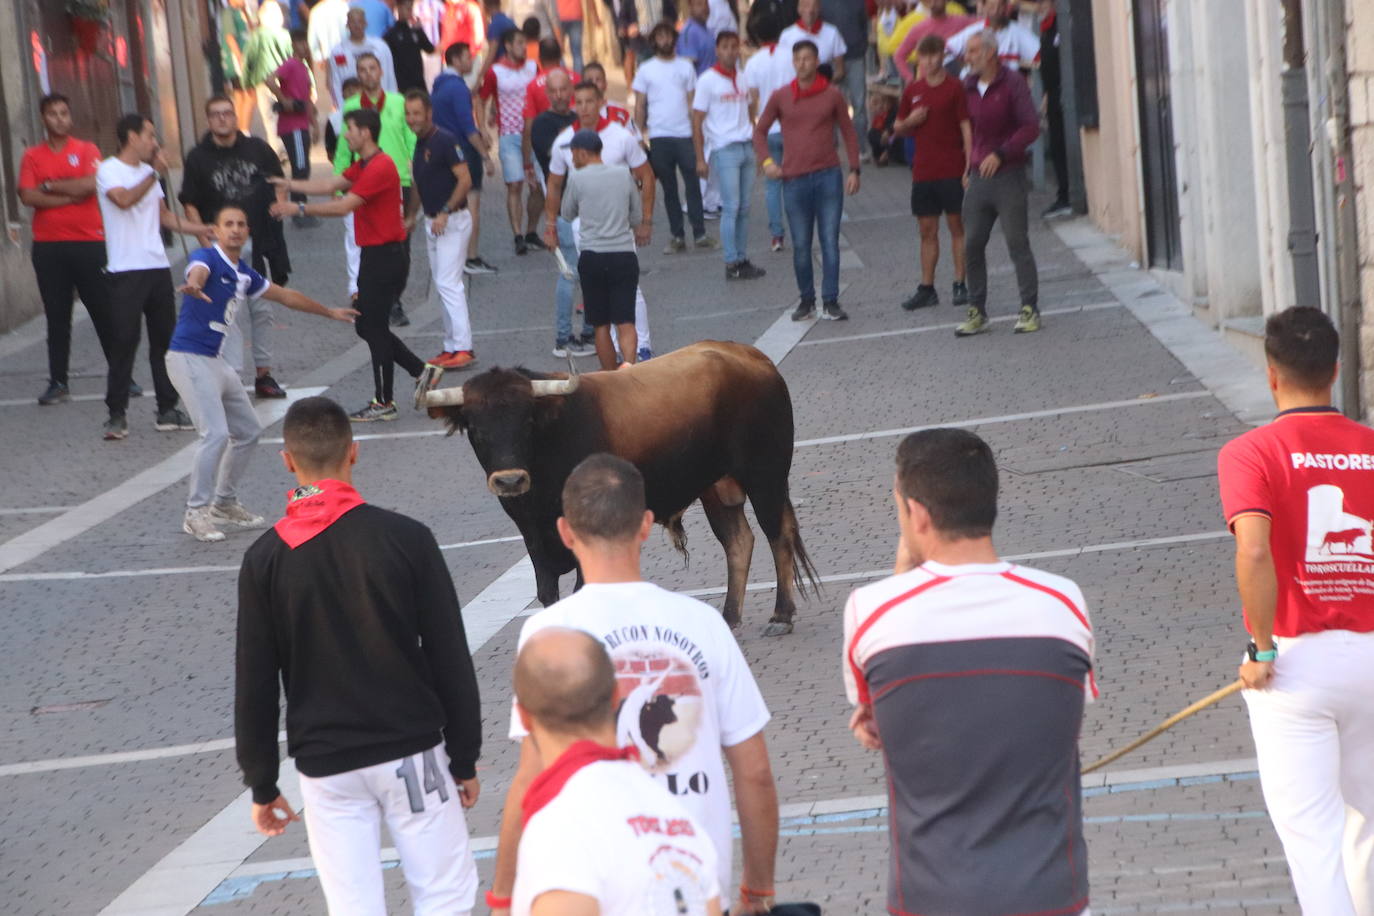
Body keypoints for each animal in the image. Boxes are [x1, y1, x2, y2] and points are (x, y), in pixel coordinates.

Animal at [420, 340, 813, 634]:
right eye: (474, 427)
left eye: (527, 422)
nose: (509, 480)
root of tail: (755, 358)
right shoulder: (531, 533)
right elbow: (547, 591)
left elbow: (582, 586)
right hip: (715, 487)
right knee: (738, 541)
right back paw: (729, 617)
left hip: (766, 475)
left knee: (777, 535)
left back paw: (781, 616)